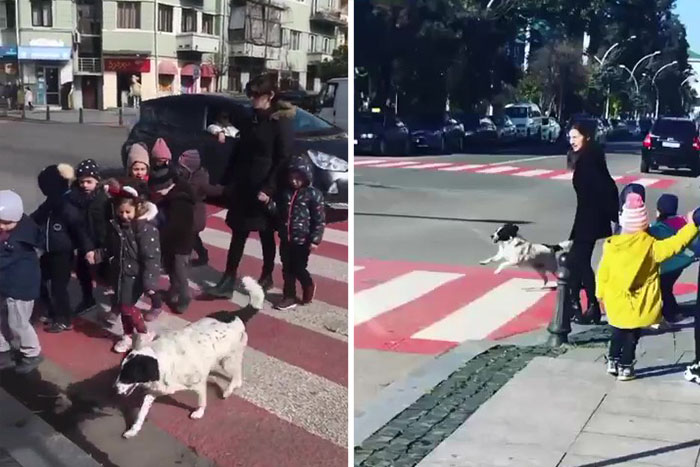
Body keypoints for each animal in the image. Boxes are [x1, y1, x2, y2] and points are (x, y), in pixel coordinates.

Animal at [113, 278, 264, 438]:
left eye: (128, 376)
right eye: (121, 372)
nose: (113, 389)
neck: (163, 361)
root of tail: (235, 315)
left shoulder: (199, 384)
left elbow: (202, 401)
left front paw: (199, 413)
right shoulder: (154, 391)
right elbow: (141, 413)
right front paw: (133, 429)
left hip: (227, 361)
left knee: (237, 373)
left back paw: (229, 389)